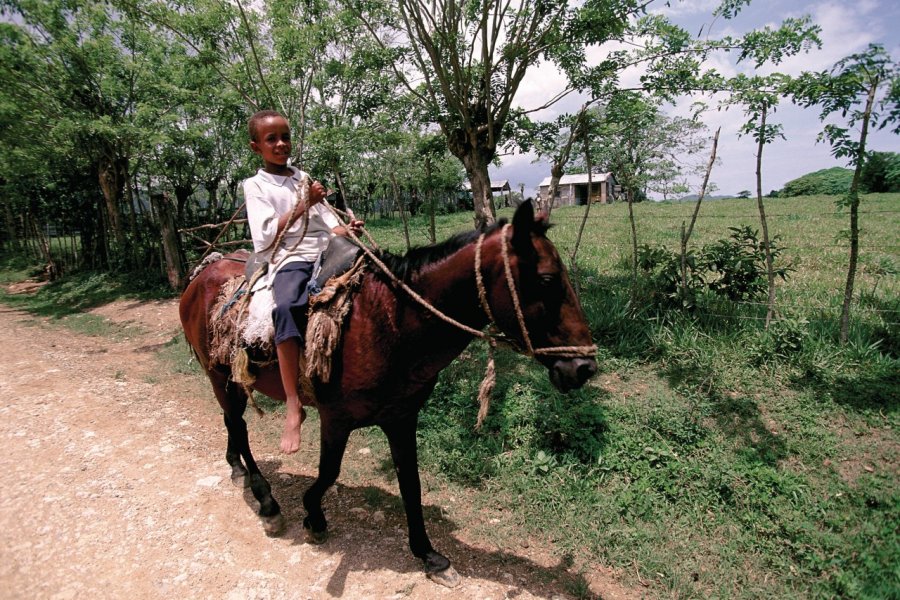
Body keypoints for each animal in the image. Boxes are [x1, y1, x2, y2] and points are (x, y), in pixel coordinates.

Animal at [178, 200, 596, 580]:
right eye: (547, 280)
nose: (585, 367)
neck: (388, 320)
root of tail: (201, 274)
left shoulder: (401, 417)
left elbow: (410, 482)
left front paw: (428, 554)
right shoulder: (336, 419)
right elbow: (328, 473)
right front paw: (313, 516)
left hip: (227, 379)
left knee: (231, 423)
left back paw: (237, 468)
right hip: (217, 374)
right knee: (239, 425)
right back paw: (266, 500)